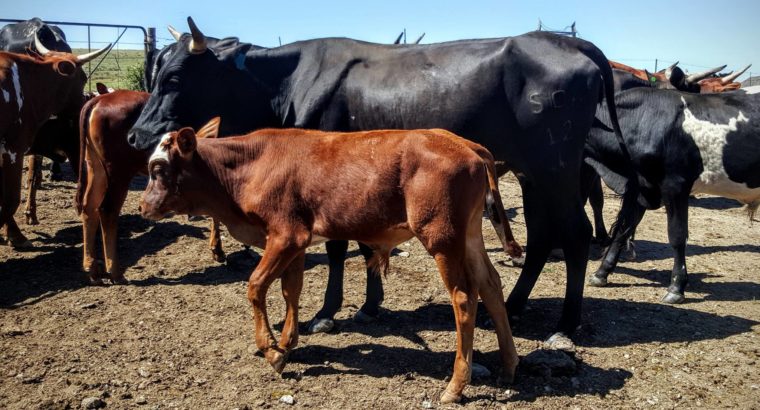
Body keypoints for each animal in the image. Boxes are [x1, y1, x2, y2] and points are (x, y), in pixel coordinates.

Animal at [127, 18, 634, 346]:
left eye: (175, 76)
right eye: (155, 72)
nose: (136, 135)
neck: (288, 84)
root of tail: (569, 43)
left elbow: (337, 248)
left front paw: (327, 313)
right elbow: (364, 244)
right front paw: (370, 305)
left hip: (556, 169)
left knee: (575, 235)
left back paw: (565, 326)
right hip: (534, 172)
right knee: (543, 235)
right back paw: (511, 306)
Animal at [140, 120, 520, 404]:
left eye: (158, 167)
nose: (143, 206)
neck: (251, 165)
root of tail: (466, 145)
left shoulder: (285, 235)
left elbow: (256, 286)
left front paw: (270, 350)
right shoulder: (297, 240)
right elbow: (291, 290)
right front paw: (287, 344)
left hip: (442, 237)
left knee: (463, 299)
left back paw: (456, 386)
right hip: (468, 235)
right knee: (491, 284)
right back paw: (509, 365)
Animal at [583, 86, 760, 303]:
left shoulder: (675, 186)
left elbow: (677, 235)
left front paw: (676, 287)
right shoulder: (642, 187)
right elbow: (622, 229)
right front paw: (601, 273)